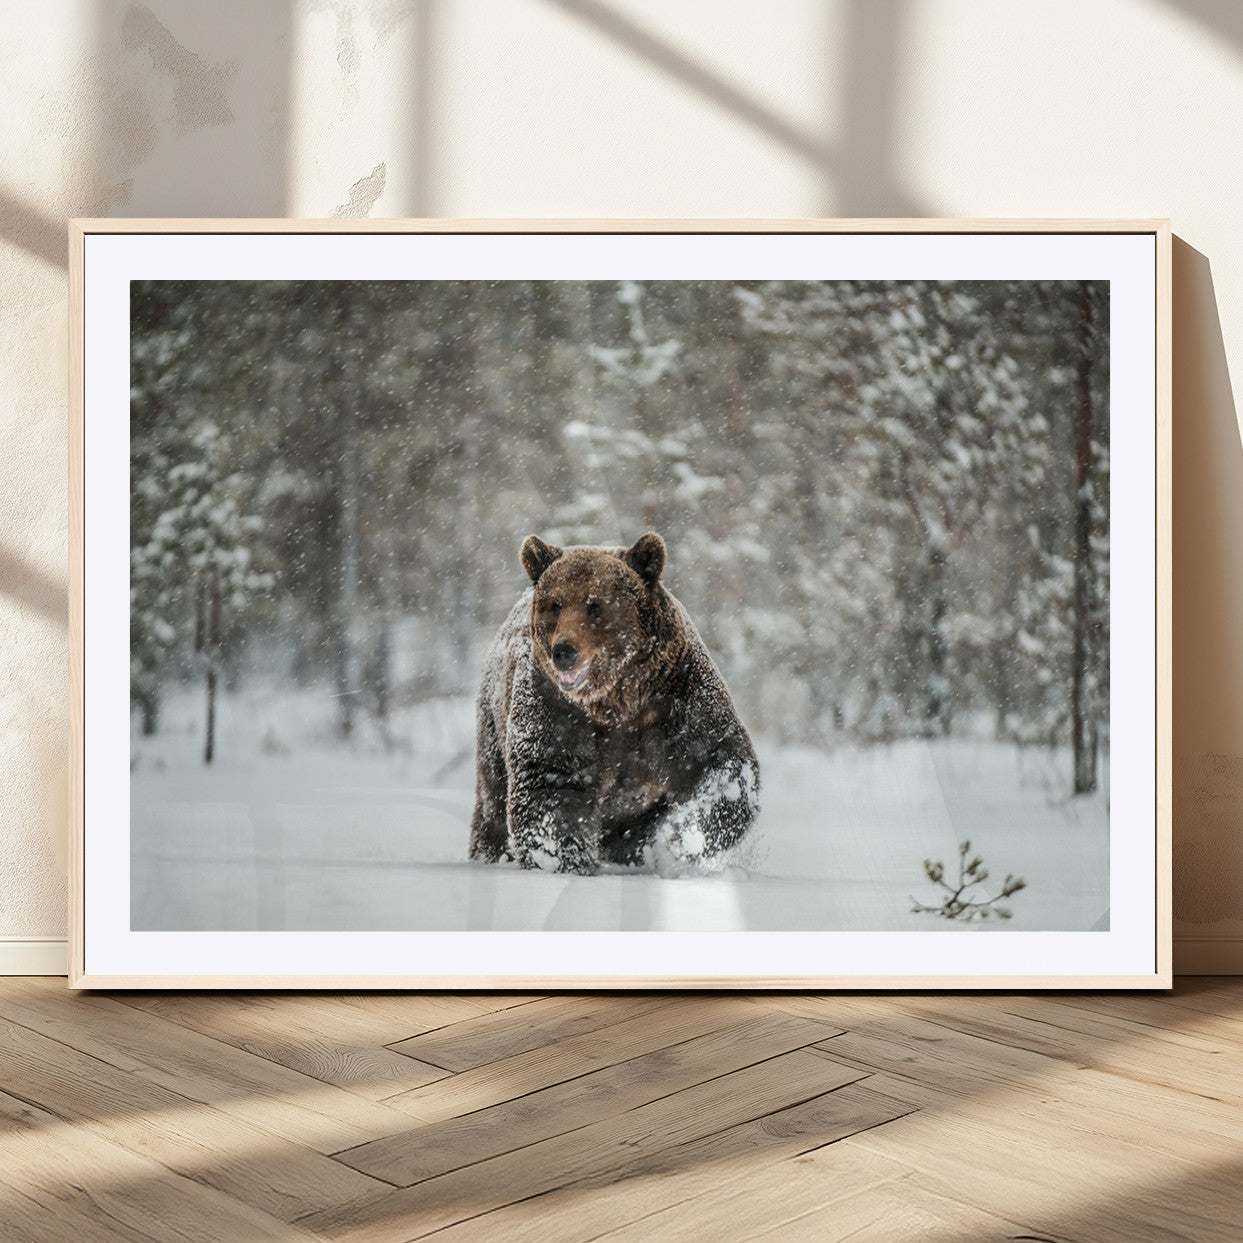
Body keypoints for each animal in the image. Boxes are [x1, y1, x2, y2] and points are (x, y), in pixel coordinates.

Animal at [469, 532, 759, 875]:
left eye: (595, 604)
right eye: (556, 604)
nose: (563, 651)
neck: (617, 698)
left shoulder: (676, 697)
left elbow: (717, 761)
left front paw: (683, 837)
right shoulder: (555, 709)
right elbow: (550, 784)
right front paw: (565, 861)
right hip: (493, 726)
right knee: (493, 803)